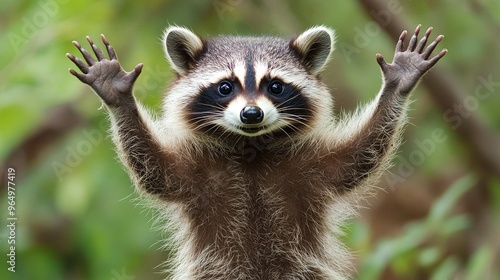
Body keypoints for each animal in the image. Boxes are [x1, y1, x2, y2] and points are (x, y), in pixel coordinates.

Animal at [65, 25, 446, 278]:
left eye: (275, 86)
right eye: (225, 87)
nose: (252, 114)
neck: (251, 149)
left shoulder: (310, 167)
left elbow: (358, 158)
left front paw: (396, 86)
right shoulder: (196, 172)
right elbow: (154, 168)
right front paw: (117, 97)